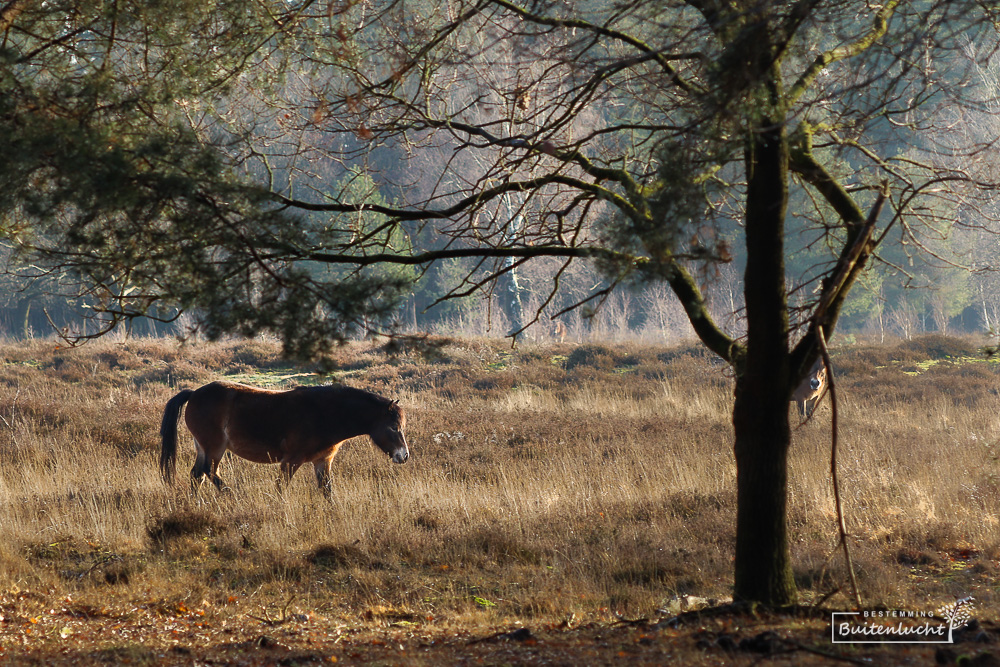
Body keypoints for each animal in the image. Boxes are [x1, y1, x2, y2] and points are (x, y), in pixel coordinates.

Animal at [158, 380, 408, 496]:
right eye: (394, 427)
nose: (404, 456)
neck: (323, 413)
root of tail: (194, 394)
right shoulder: (291, 461)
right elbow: (281, 488)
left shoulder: (323, 461)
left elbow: (327, 491)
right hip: (215, 448)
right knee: (209, 472)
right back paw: (234, 496)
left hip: (203, 448)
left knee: (197, 475)